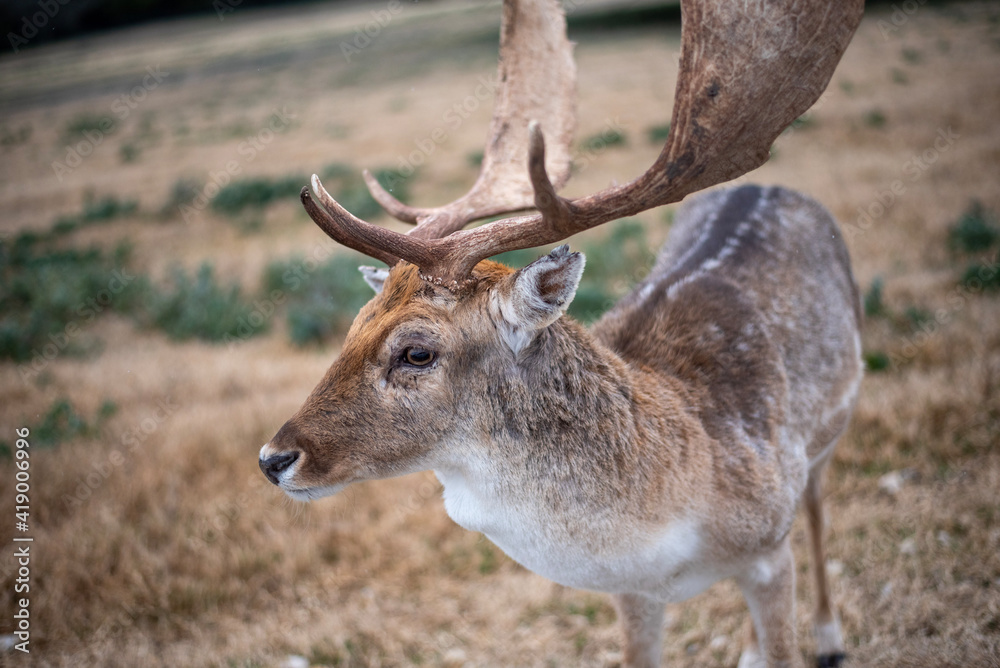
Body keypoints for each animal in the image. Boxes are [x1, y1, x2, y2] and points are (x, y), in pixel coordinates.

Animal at [258, 0, 865, 665]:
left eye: (416, 351)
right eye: (354, 325)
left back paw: (830, 636)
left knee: (817, 505)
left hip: (824, 441)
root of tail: (770, 184)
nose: (273, 458)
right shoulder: (633, 592)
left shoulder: (768, 549)